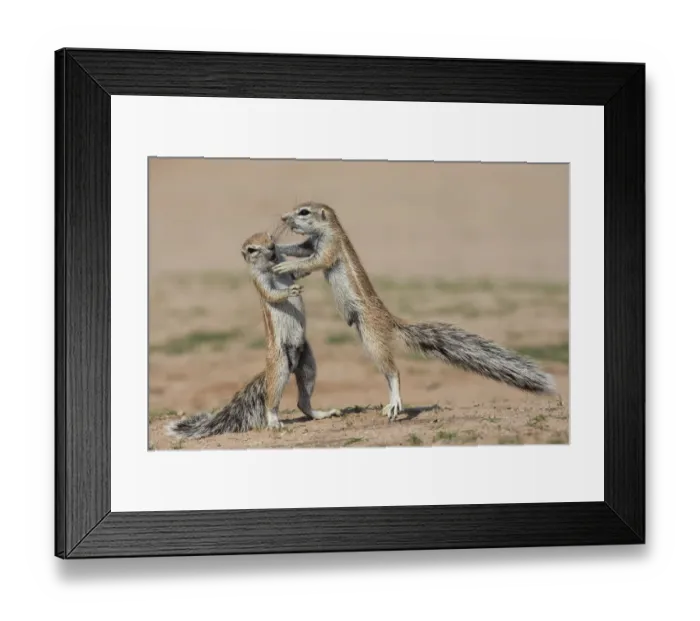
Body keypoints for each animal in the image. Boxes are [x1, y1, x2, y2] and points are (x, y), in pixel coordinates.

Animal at [167, 232, 339, 439]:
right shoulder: (259, 281)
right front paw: (289, 290)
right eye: (252, 249)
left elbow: (297, 274)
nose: (272, 247)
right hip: (280, 365)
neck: (270, 267)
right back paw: (274, 422)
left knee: (303, 399)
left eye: (270, 236)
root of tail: (270, 369)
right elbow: (272, 294)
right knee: (271, 401)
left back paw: (321, 413)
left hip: (307, 362)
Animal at [271, 202, 558, 422]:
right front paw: (275, 248)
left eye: (304, 212)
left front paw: (286, 266)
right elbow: (300, 249)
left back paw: (396, 402)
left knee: (394, 372)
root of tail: (390, 319)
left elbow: (314, 261)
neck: (329, 229)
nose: (283, 217)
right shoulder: (311, 243)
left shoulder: (329, 246)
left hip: (373, 336)